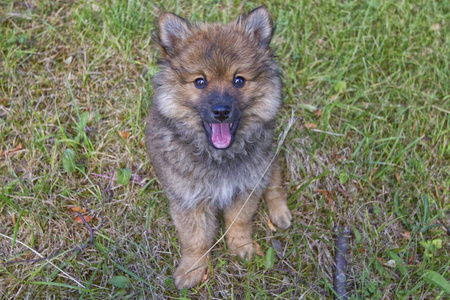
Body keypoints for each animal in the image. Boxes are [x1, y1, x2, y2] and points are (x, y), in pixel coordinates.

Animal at [145, 5, 292, 290]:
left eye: (239, 80)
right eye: (200, 82)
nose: (221, 111)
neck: (219, 157)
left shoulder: (246, 185)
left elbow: (239, 221)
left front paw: (241, 247)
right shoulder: (189, 199)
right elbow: (195, 238)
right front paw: (193, 268)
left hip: (266, 158)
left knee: (275, 179)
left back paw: (280, 212)